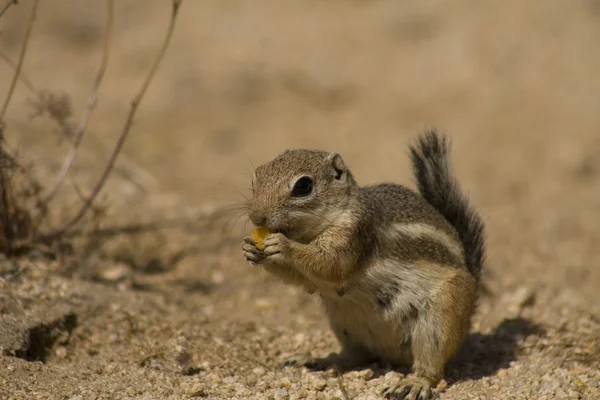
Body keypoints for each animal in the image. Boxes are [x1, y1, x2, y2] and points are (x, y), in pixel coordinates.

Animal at [241, 130, 486, 398]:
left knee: (431, 366)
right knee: (355, 357)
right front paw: (250, 249)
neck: (309, 233)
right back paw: (317, 360)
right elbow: (302, 277)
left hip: (439, 320)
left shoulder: (354, 235)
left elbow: (331, 264)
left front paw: (284, 246)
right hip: (344, 325)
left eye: (303, 186)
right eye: (256, 177)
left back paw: (414, 383)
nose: (257, 217)